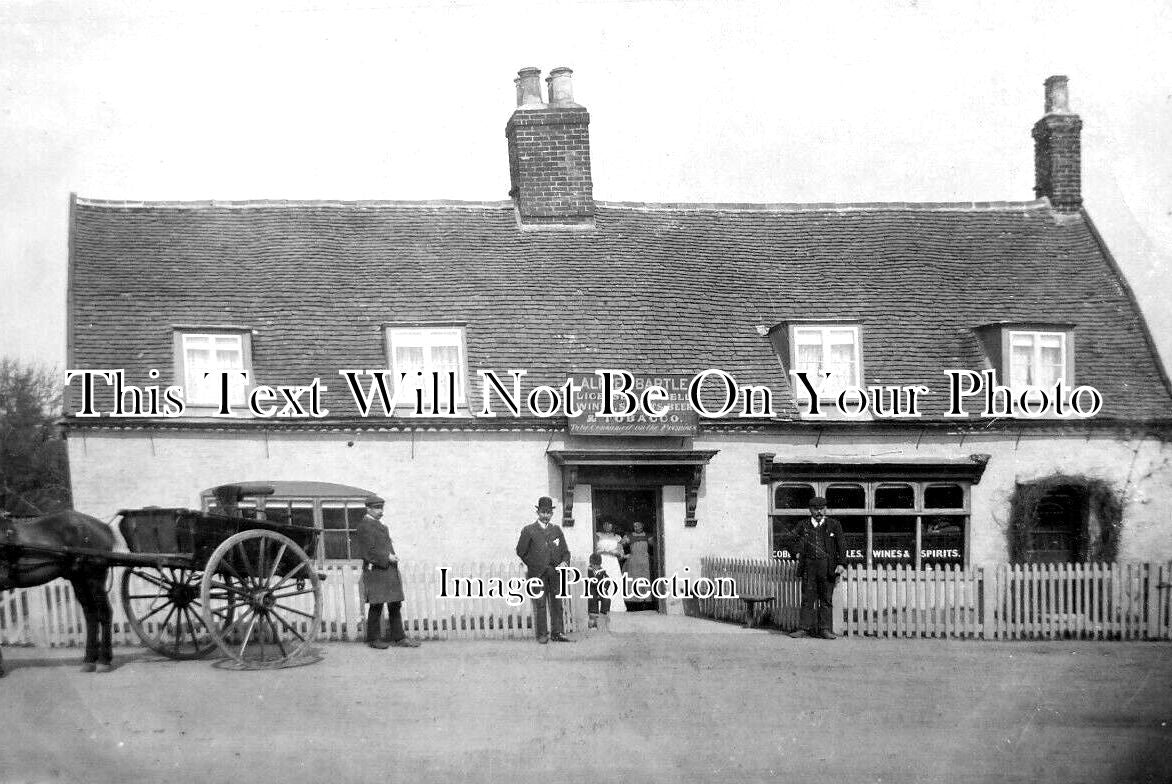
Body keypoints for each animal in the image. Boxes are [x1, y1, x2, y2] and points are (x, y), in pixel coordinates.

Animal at [0, 510, 115, 675]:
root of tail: (104, 527)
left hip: (94, 578)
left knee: (104, 612)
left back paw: (104, 661)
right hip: (79, 580)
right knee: (91, 615)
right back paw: (89, 660)